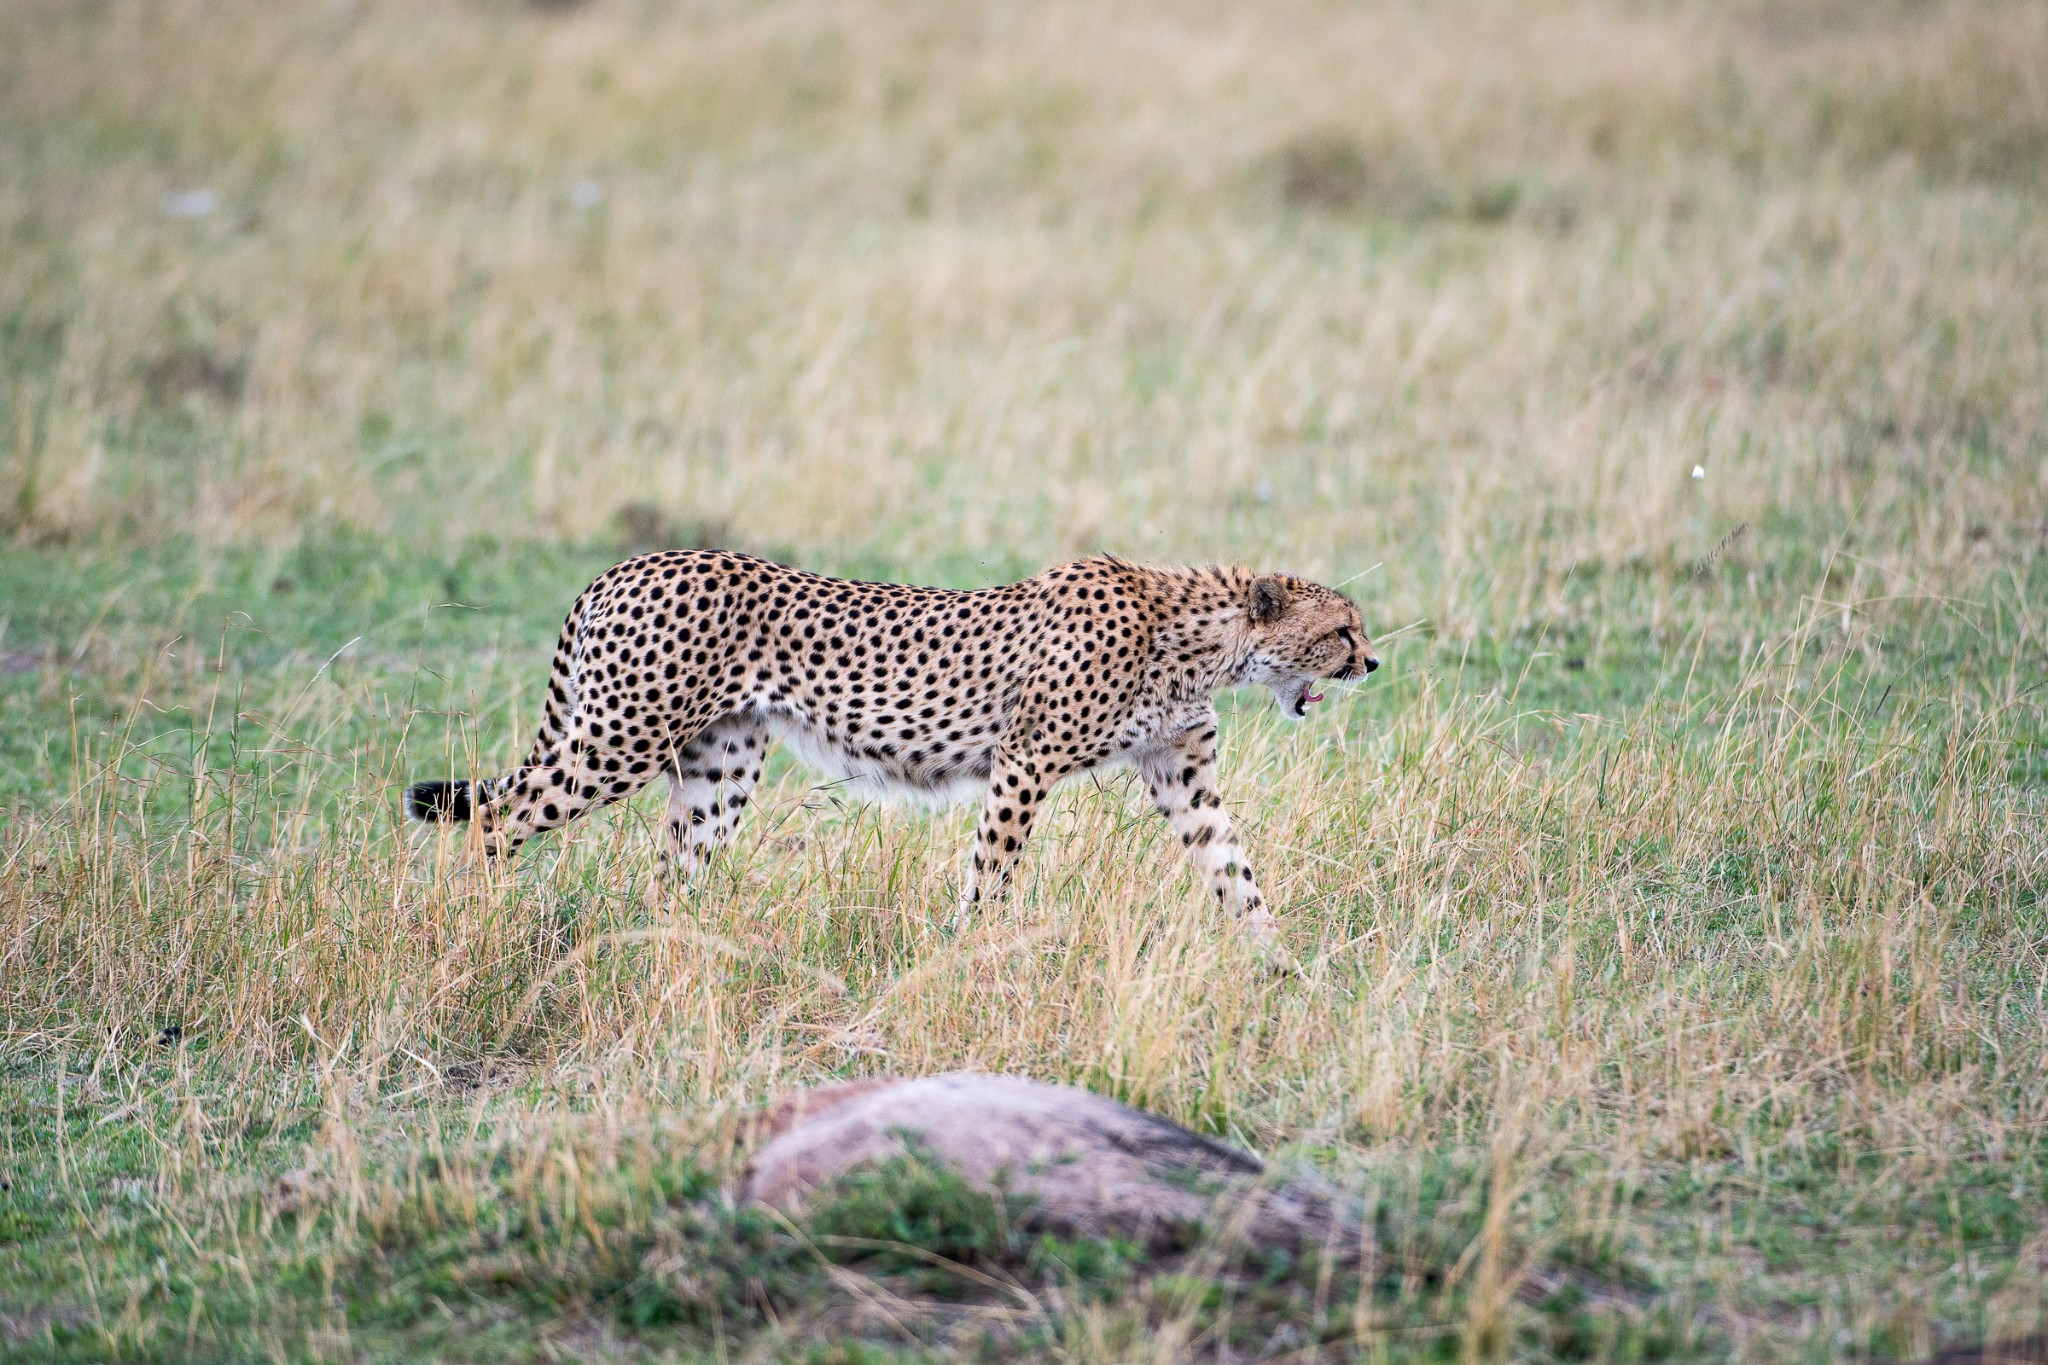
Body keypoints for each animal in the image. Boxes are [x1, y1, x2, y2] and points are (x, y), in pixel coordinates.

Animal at [403, 556, 1376, 949]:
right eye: (1343, 628)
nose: (1373, 662)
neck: (1204, 638)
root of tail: (628, 564)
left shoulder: (1182, 773)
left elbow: (1236, 871)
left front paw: (1279, 964)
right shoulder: (1024, 761)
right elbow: (992, 872)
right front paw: (969, 951)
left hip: (719, 765)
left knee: (671, 867)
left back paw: (670, 949)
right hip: (619, 739)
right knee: (497, 816)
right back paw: (469, 920)